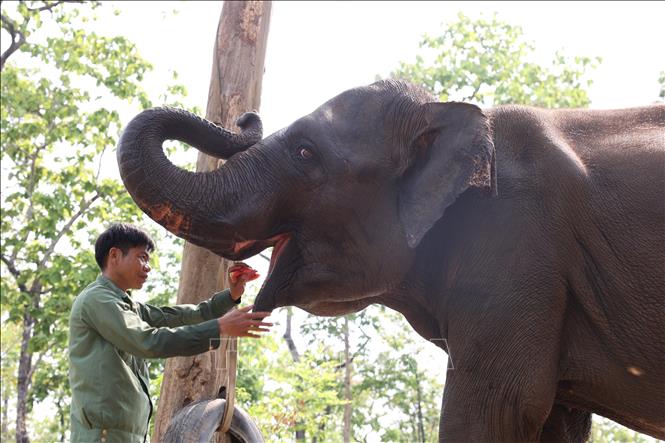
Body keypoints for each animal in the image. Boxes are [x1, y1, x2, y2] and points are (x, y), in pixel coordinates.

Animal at [117, 80, 665, 442]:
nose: (245, 118)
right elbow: (553, 418)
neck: (452, 114)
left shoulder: (517, 244)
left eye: (305, 152)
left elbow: (503, 404)